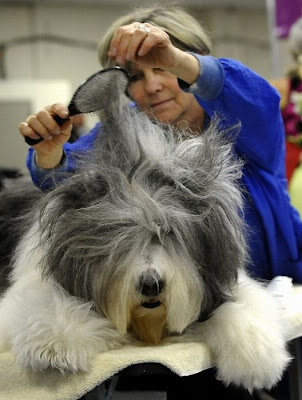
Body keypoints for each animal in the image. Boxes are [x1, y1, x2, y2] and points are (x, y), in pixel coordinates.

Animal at [0, 70, 290, 392]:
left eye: (170, 233)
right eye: (120, 236)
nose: (151, 285)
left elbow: (242, 305)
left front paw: (255, 360)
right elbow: (43, 301)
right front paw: (54, 345)